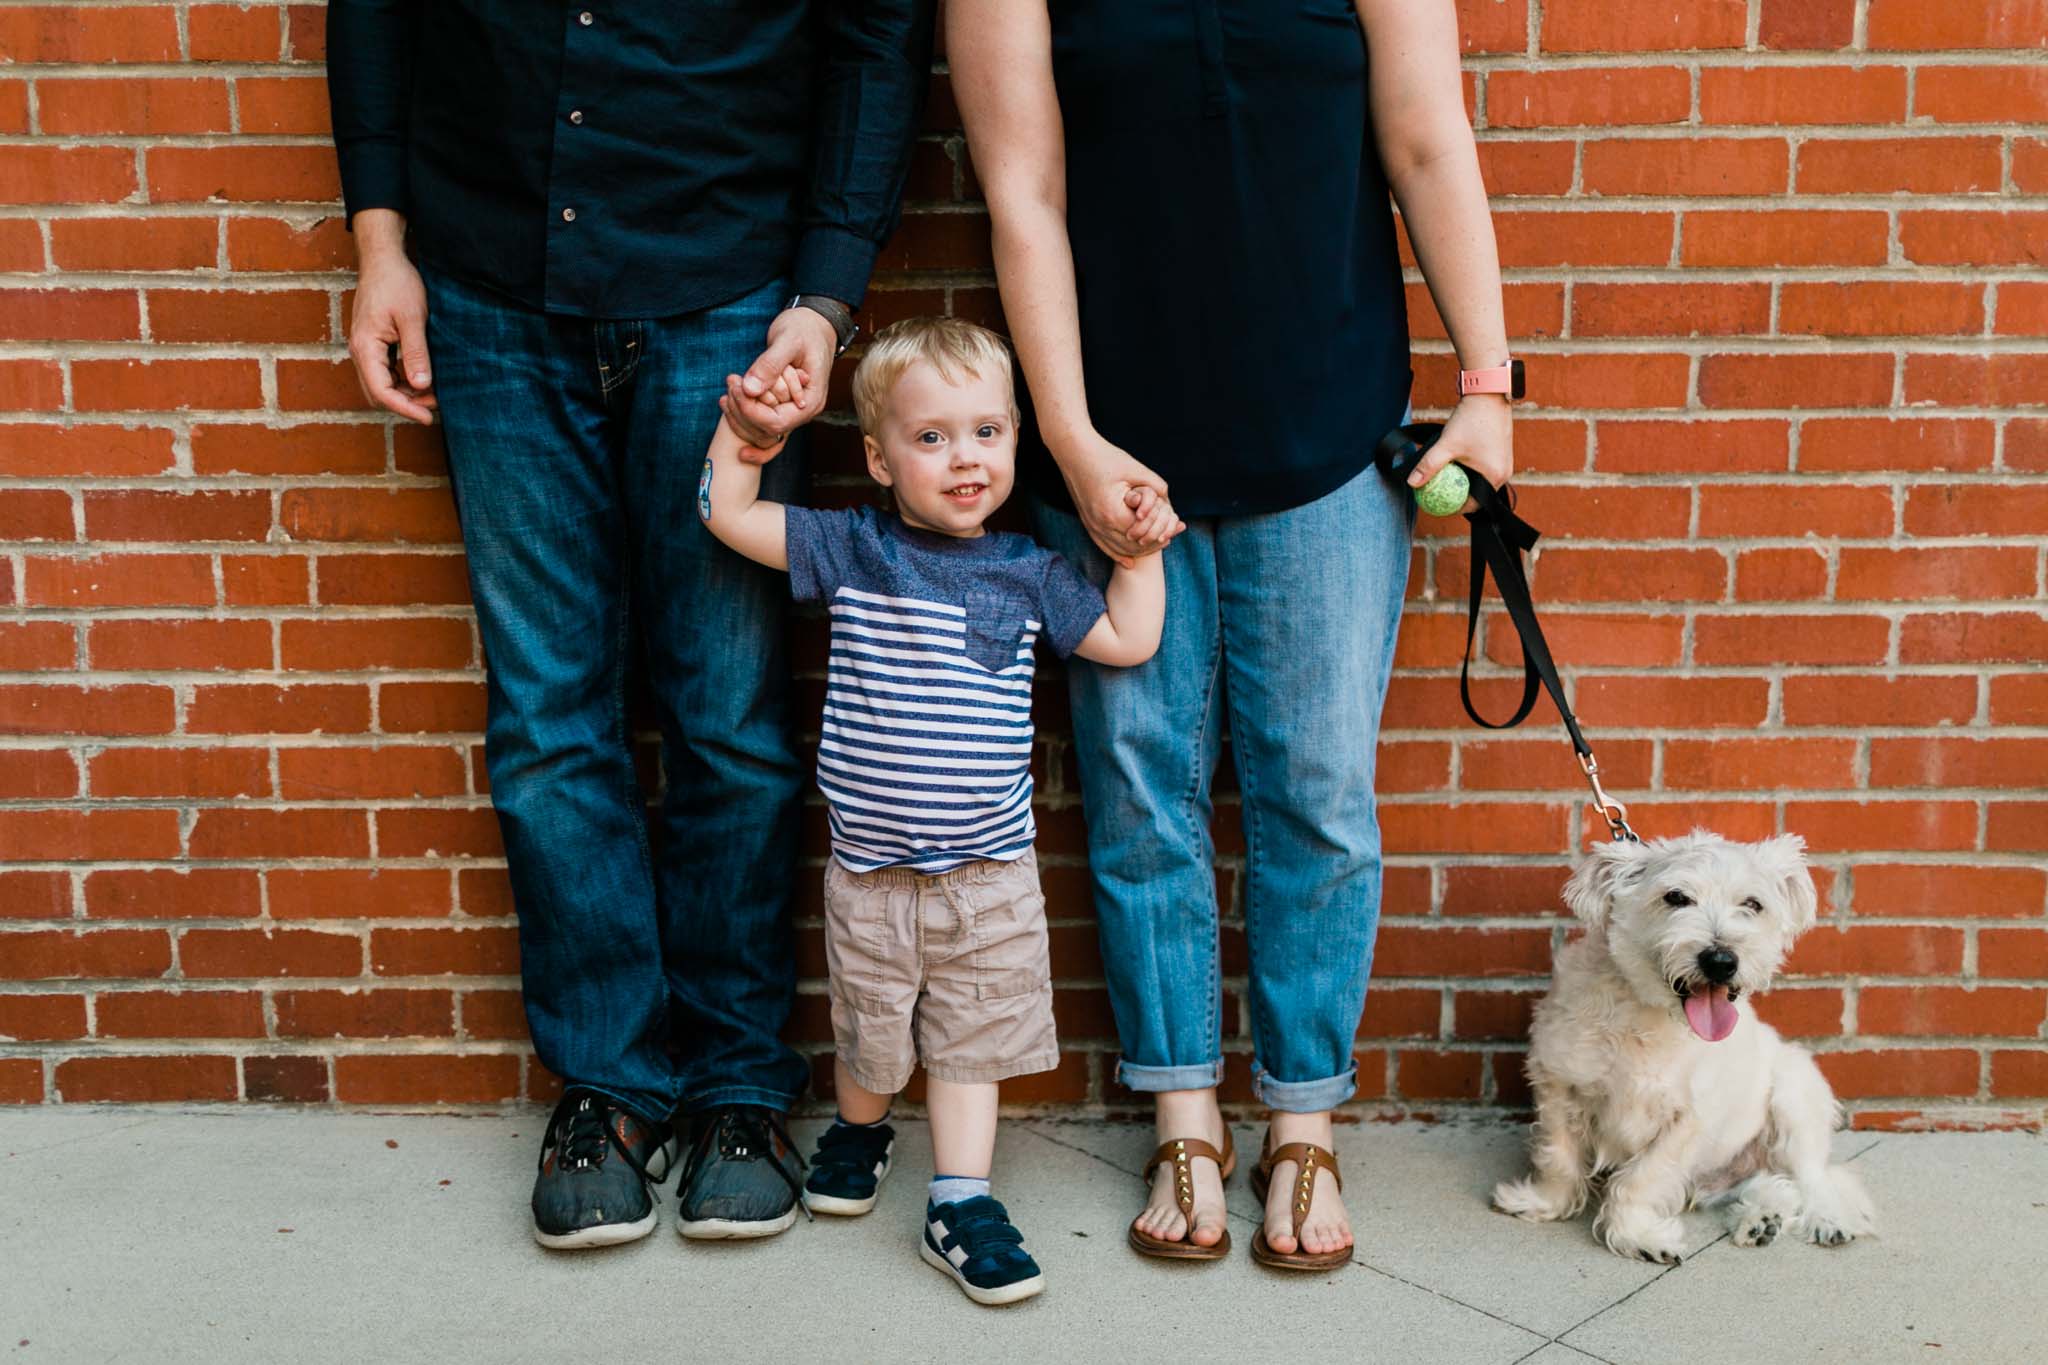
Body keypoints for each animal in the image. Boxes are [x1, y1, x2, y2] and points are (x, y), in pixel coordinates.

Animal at [1490, 834, 1875, 1268]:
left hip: (1795, 1099)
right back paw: (1761, 1220)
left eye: (1753, 904)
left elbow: (1643, 1178)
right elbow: (1558, 1156)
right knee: (1771, 1184)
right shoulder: (1559, 1085)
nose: (1721, 960)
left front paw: (1635, 1235)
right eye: (1676, 897)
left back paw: (1826, 1219)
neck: (1646, 1013)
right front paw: (1544, 1203)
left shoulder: (1687, 1120)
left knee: (1813, 1179)